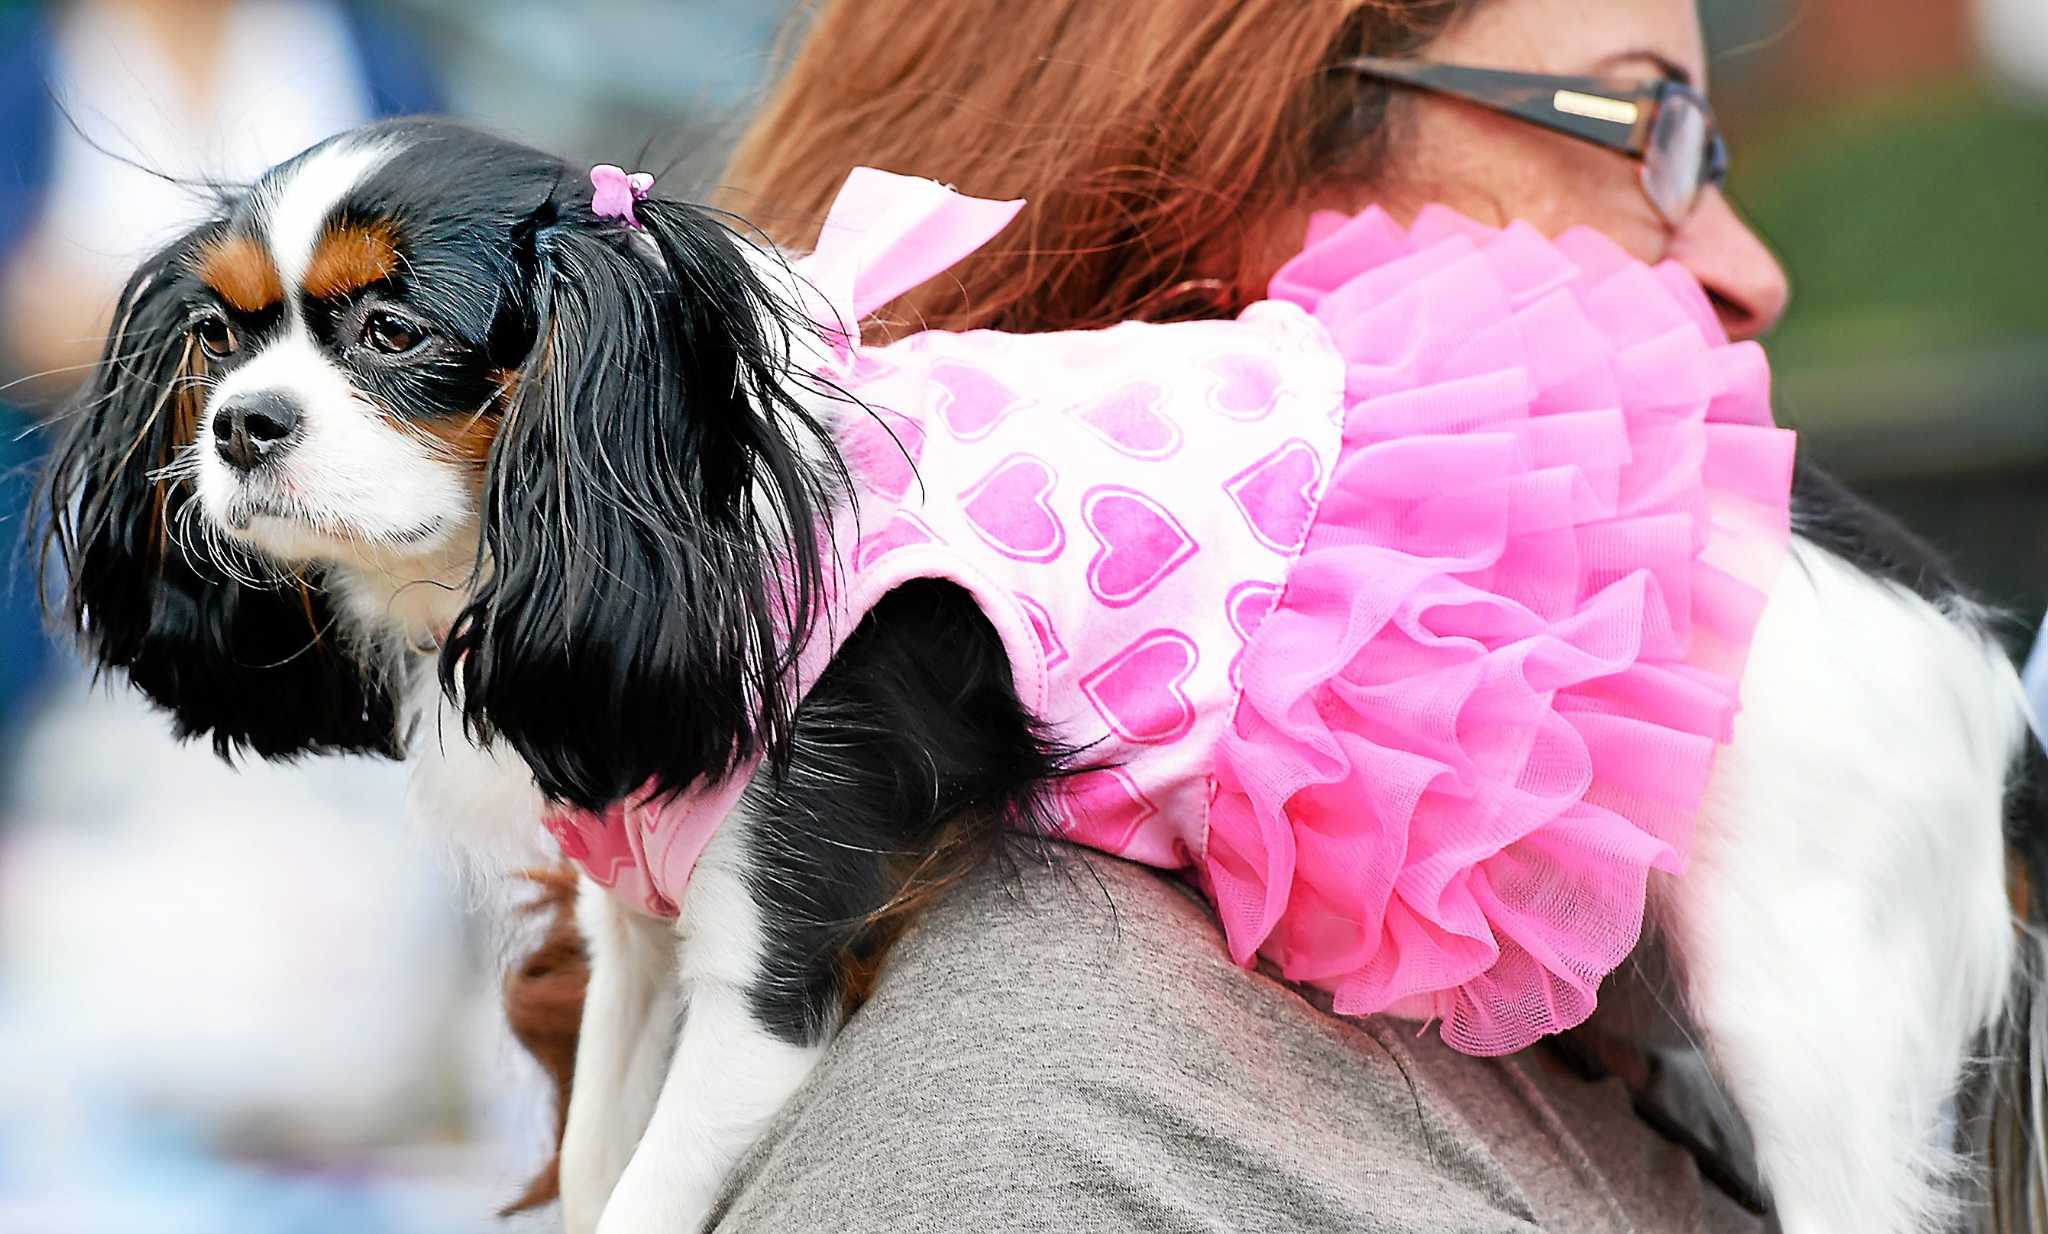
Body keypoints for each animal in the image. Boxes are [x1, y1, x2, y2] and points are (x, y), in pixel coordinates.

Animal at [39, 118, 2048, 1234]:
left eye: (394, 334)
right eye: (218, 335)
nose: (237, 428)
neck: (676, 472)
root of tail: (1934, 599)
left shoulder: (772, 974)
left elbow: (664, 1182)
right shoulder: (638, 933)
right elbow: (601, 1148)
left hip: (1803, 987)